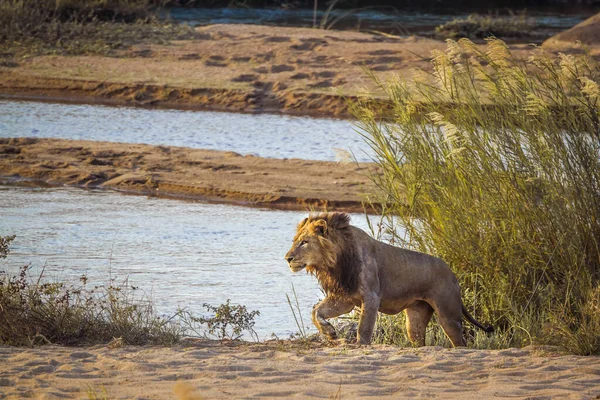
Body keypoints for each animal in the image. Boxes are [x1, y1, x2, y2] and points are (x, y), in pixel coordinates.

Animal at [284, 212, 492, 346]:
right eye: (294, 241)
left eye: (304, 242)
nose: (287, 258)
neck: (333, 264)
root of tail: (452, 274)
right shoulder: (345, 298)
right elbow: (316, 312)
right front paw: (331, 333)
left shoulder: (371, 296)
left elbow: (364, 328)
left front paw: (360, 345)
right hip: (416, 319)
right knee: (419, 339)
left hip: (449, 315)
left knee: (460, 342)